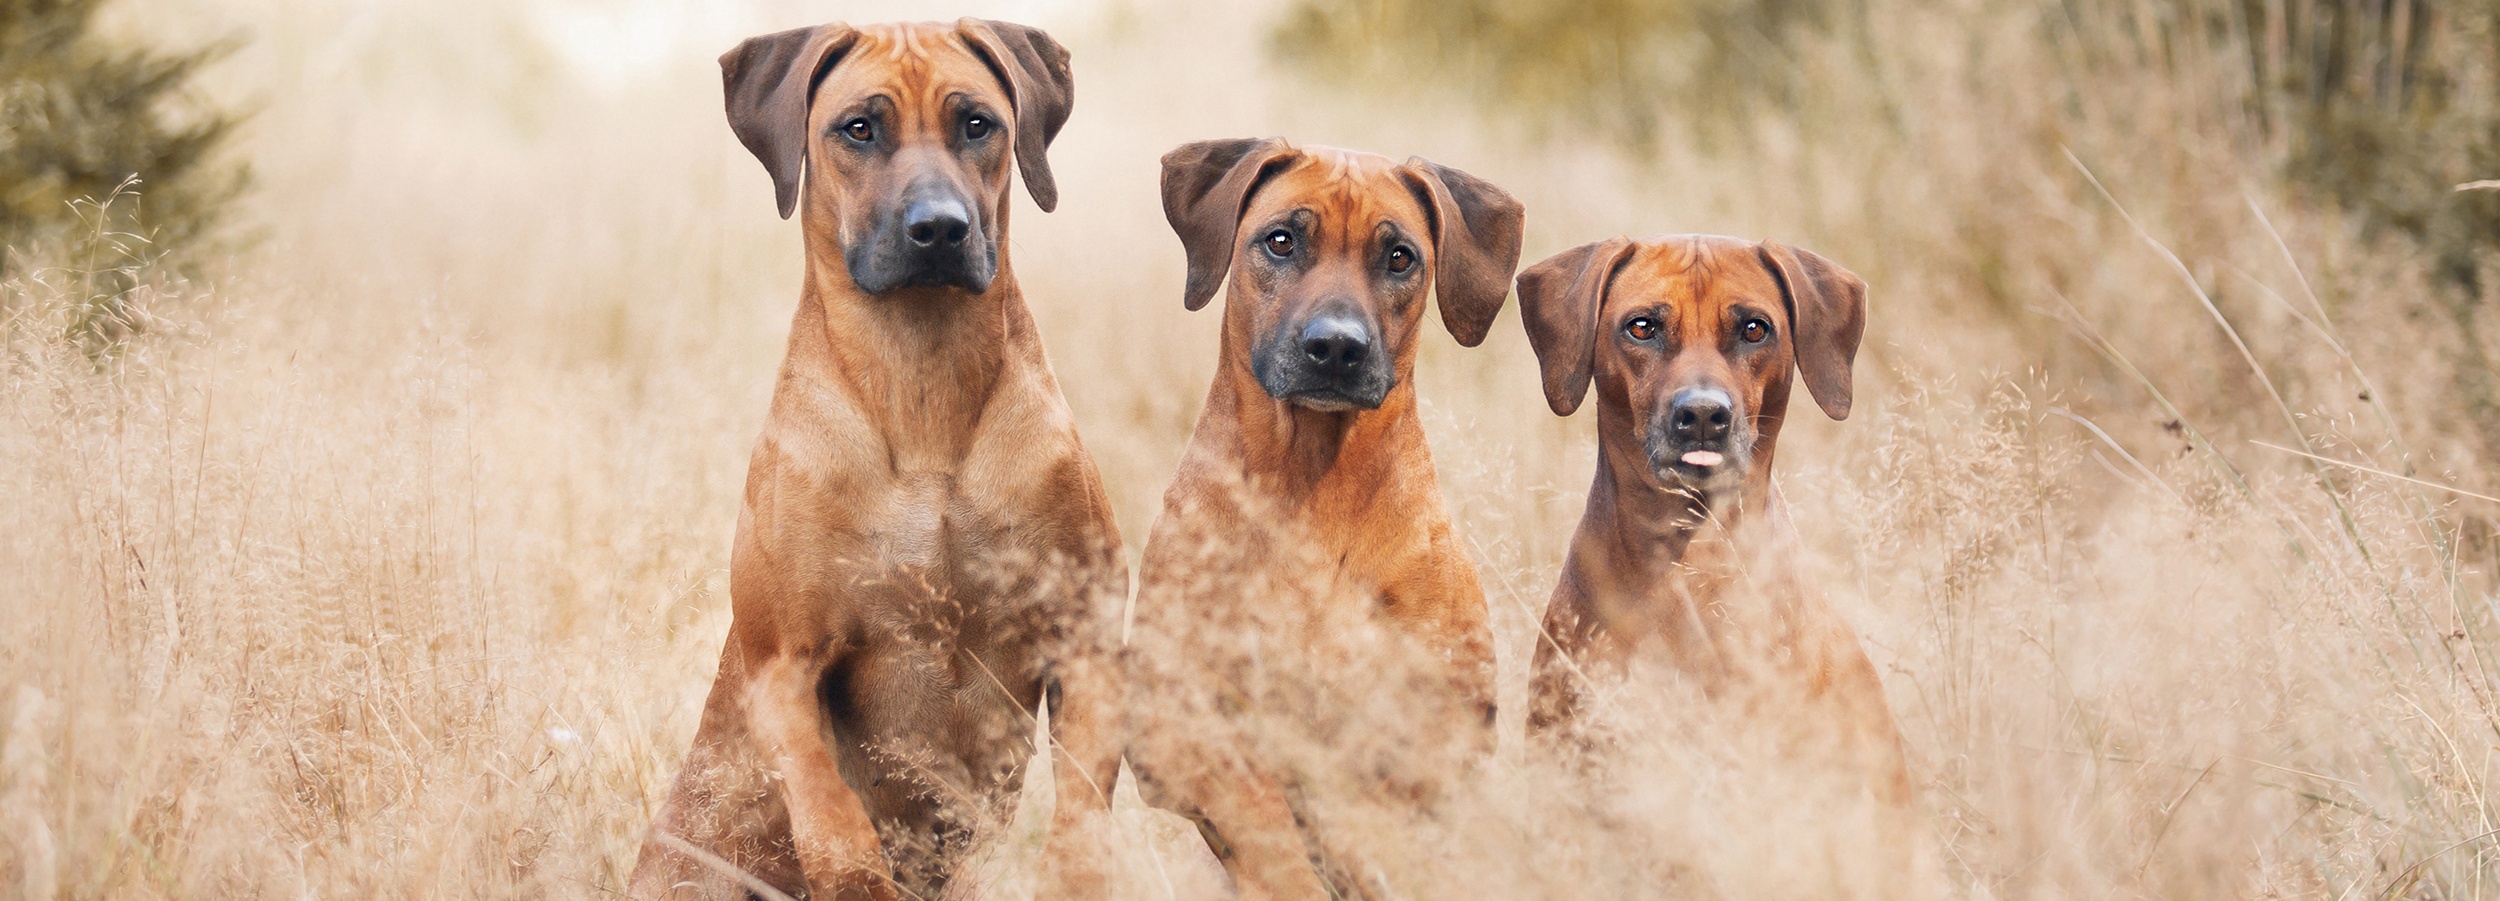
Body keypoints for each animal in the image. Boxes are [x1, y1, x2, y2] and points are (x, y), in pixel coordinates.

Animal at [630, 21, 1130, 901]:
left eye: (977, 123)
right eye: (858, 128)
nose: (940, 228)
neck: (919, 379)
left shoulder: (1086, 634)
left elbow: (1080, 809)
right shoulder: (783, 665)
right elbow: (831, 815)